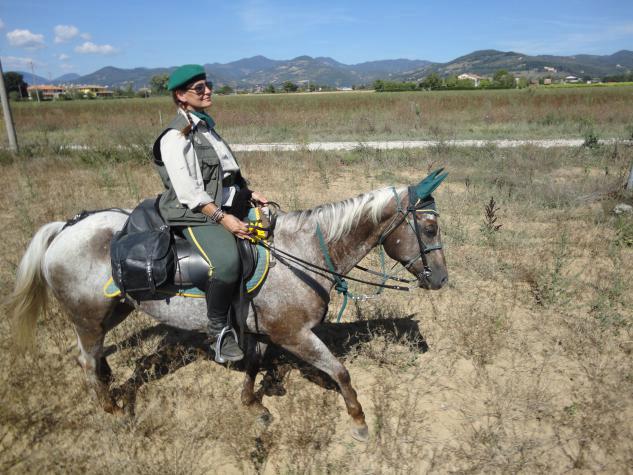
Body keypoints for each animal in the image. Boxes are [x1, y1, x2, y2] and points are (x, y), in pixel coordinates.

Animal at [10, 170, 448, 442]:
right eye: (429, 227)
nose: (441, 279)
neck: (301, 255)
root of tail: (66, 227)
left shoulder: (261, 329)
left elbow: (253, 365)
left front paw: (253, 406)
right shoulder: (294, 334)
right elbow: (340, 372)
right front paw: (358, 423)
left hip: (114, 311)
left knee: (96, 358)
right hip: (88, 318)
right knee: (87, 360)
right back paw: (113, 411)